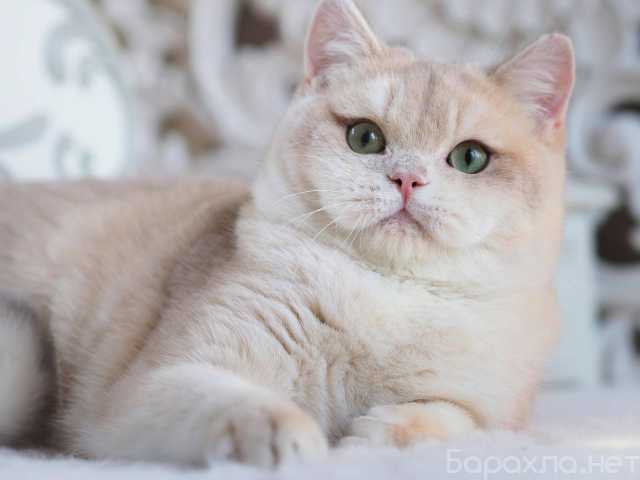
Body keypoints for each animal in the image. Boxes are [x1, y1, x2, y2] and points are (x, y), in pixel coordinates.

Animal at [0, 0, 574, 468]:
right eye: (365, 138)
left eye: (470, 157)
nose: (407, 180)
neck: (386, 293)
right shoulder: (151, 387)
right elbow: (233, 400)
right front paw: (288, 433)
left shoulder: (495, 408)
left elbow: (449, 418)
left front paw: (378, 436)